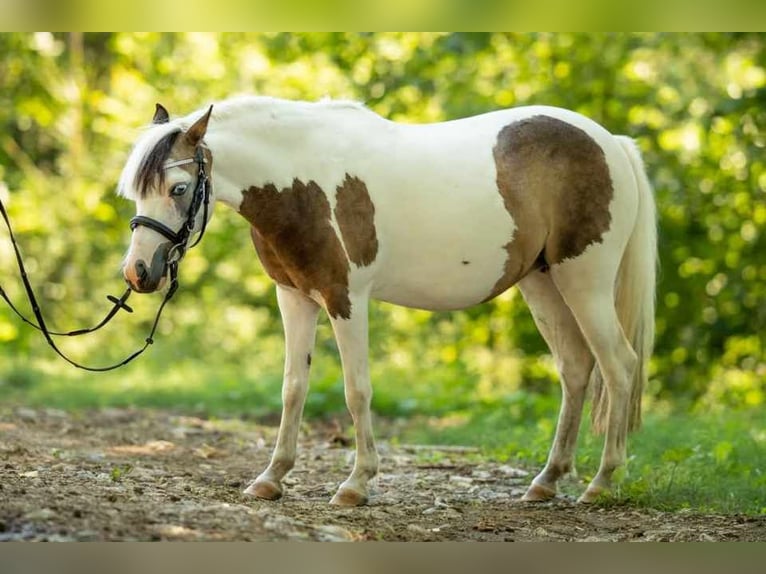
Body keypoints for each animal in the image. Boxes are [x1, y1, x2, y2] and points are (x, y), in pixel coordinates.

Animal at [117, 99, 656, 508]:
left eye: (179, 188)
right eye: (137, 192)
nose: (138, 272)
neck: (303, 182)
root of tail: (612, 143)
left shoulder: (346, 299)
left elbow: (357, 391)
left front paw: (356, 485)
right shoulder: (294, 298)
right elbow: (293, 388)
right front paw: (271, 478)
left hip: (585, 282)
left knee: (619, 365)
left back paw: (600, 484)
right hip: (542, 284)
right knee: (576, 369)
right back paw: (546, 482)